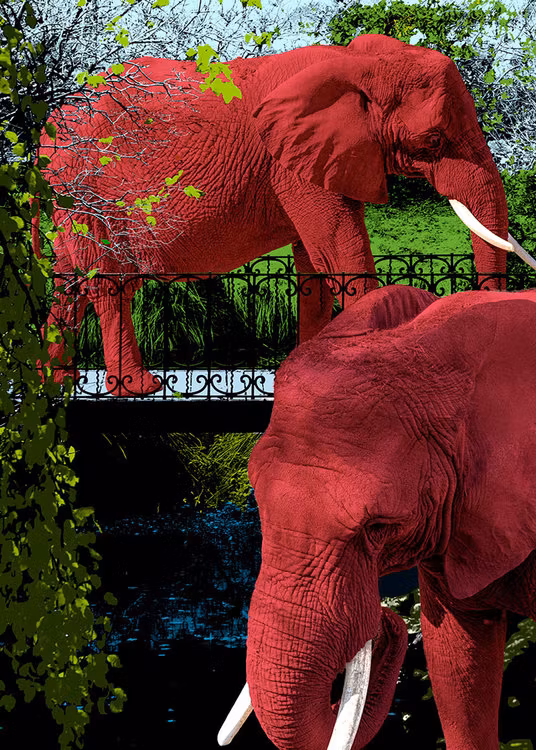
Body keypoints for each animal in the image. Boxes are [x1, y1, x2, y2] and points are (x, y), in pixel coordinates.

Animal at [38, 33, 536, 395]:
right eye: (432, 141)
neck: (354, 61)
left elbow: (314, 262)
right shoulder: (289, 163)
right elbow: (338, 245)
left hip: (68, 199)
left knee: (69, 282)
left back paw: (55, 381)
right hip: (87, 189)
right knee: (109, 282)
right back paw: (137, 389)